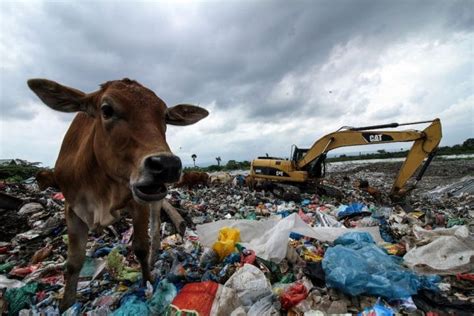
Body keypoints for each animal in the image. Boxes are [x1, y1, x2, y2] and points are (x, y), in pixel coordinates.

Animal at [26, 78, 208, 310]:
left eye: (165, 116)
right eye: (107, 110)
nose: (167, 165)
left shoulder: (138, 201)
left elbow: (141, 246)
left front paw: (148, 284)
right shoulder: (71, 208)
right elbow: (73, 262)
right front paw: (66, 305)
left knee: (155, 228)